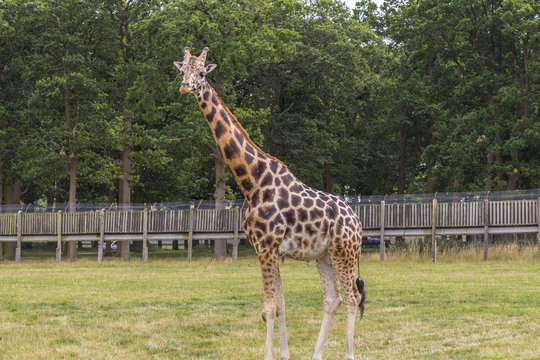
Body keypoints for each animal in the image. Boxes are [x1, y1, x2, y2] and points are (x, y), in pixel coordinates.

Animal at [175, 47, 364, 360]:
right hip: (324, 256)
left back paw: (348, 355)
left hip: (344, 253)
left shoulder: (266, 245)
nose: (185, 86)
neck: (253, 183)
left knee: (352, 297)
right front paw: (285, 354)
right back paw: (316, 355)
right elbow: (280, 304)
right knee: (332, 299)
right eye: (182, 71)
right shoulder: (265, 248)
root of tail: (359, 223)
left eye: (202, 72)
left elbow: (268, 308)